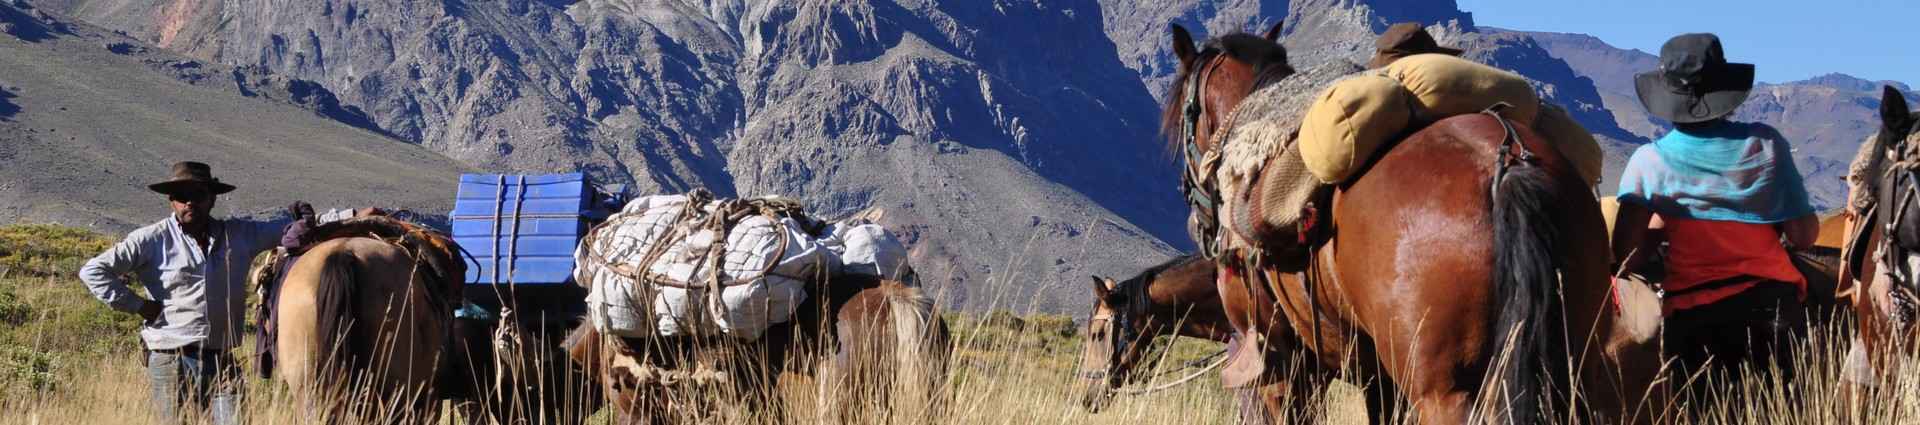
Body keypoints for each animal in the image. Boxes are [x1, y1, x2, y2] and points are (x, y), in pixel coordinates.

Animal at [1159, 24, 1674, 423]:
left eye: (1184, 113)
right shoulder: (1376, 374)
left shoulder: (1278, 366)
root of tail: (1509, 161)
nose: (1197, 218)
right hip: (1572, 366)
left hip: (1445, 389)